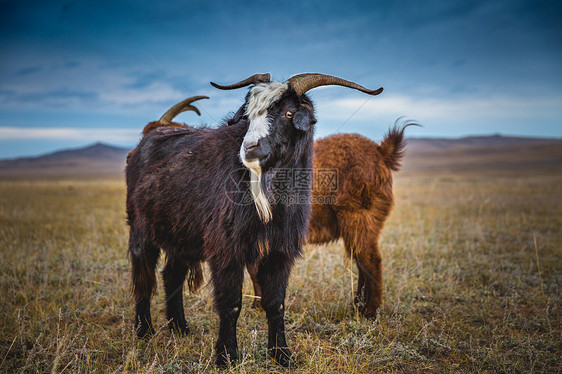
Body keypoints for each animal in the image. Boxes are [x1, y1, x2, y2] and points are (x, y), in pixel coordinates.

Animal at [125, 71, 382, 366]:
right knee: (143, 275)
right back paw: (144, 330)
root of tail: (146, 140)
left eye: (289, 113)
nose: (249, 148)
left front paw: (282, 355)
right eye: (247, 114)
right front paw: (227, 356)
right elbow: (230, 303)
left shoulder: (281, 251)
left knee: (172, 275)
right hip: (140, 229)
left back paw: (180, 328)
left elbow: (276, 303)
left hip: (180, 234)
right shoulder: (227, 250)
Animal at [247, 125, 410, 318]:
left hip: (358, 218)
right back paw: (358, 305)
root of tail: (381, 151)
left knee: (370, 260)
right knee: (361, 260)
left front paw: (259, 306)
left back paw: (369, 311)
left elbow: (256, 271)